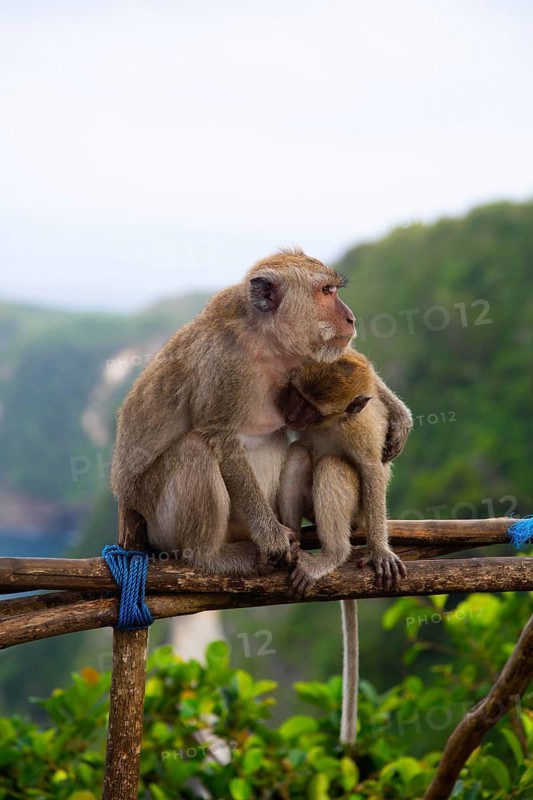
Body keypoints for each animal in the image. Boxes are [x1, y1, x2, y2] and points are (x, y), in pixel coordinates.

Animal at [110, 249, 357, 575]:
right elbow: (221, 438)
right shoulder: (224, 366)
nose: (351, 318)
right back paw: (209, 555)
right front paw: (272, 537)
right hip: (160, 523)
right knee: (194, 449)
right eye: (326, 291)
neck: (264, 342)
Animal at [277, 349, 412, 745]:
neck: (330, 423)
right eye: (295, 396)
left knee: (334, 466)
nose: (290, 414)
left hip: (357, 515)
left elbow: (371, 470)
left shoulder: (358, 429)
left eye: (310, 407)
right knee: (300, 453)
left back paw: (334, 555)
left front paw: (380, 551)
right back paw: (291, 538)